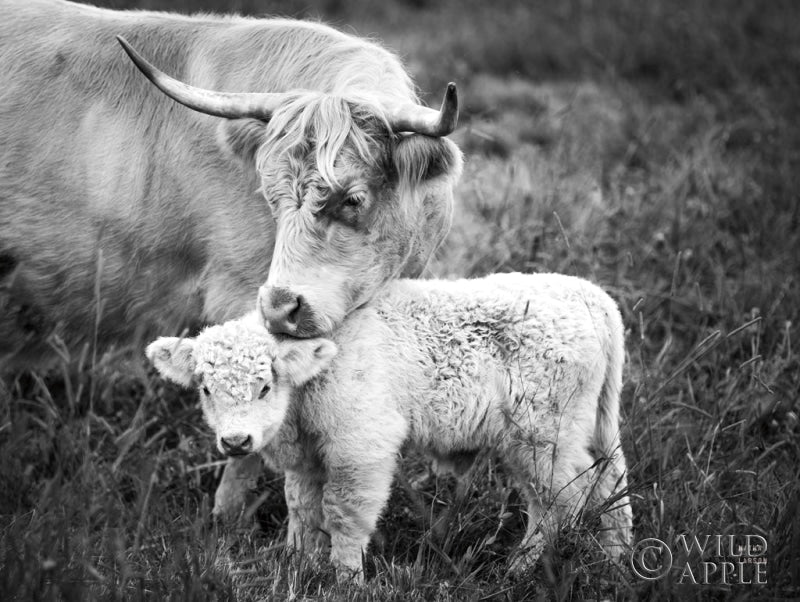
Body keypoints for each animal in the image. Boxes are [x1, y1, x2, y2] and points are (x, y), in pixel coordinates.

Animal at [147, 272, 634, 580]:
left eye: (265, 386)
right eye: (205, 389)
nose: (235, 440)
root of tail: (590, 295)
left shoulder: (360, 446)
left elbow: (343, 513)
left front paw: (345, 579)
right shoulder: (308, 459)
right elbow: (302, 508)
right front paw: (298, 565)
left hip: (541, 435)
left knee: (562, 498)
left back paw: (518, 568)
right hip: (586, 426)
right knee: (609, 482)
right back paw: (615, 562)